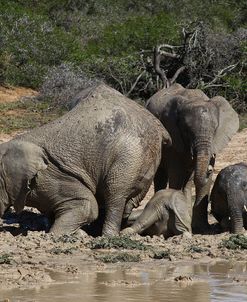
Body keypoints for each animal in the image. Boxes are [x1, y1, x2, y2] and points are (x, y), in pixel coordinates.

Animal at [0, 84, 171, 237]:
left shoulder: (51, 175)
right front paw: (79, 234)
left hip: (131, 155)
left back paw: (108, 236)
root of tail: (160, 127)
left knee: (115, 194)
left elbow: (86, 205)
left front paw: (54, 235)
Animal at [146, 84, 238, 232]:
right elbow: (176, 174)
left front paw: (202, 229)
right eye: (186, 130)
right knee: (162, 175)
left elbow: (202, 181)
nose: (210, 170)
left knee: (188, 182)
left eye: (215, 129)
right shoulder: (174, 137)